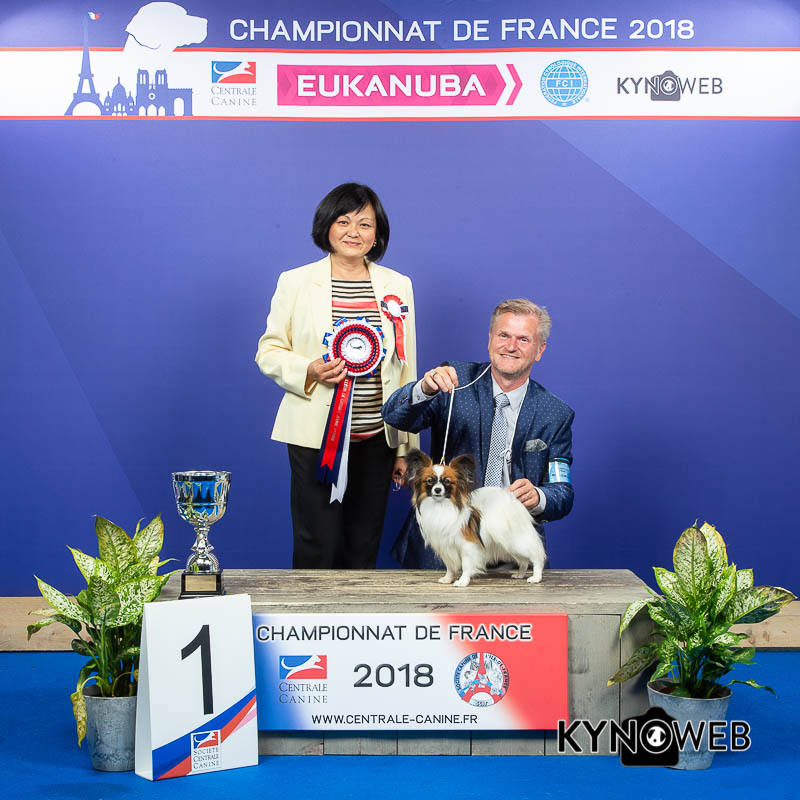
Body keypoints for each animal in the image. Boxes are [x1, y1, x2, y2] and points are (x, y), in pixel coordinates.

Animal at [404, 449, 546, 587]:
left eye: (447, 481)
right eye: (430, 481)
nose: (438, 489)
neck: (441, 506)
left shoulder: (468, 546)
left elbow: (466, 565)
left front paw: (462, 581)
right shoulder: (446, 546)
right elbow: (450, 566)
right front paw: (448, 579)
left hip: (517, 542)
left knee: (536, 557)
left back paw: (536, 577)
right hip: (509, 546)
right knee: (523, 561)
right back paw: (520, 574)